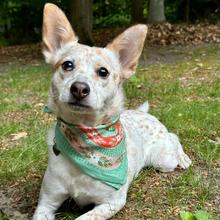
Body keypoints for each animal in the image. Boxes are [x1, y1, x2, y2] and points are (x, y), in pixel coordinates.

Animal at [33, 3, 192, 220]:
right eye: (67, 65)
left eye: (103, 72)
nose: (79, 88)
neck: (85, 139)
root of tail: (143, 112)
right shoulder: (46, 202)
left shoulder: (112, 202)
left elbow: (84, 217)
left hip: (164, 161)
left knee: (174, 137)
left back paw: (183, 158)